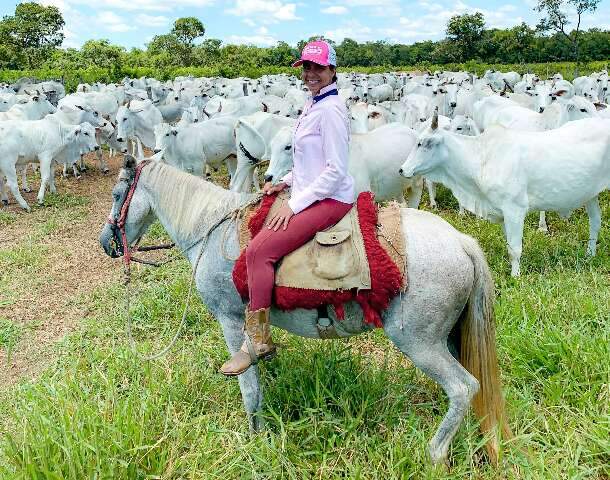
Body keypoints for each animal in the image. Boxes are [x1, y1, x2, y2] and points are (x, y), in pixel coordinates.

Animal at [100, 158, 508, 464]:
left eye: (118, 194)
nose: (107, 243)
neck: (211, 228)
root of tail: (462, 242)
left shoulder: (230, 319)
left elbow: (248, 385)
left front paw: (255, 436)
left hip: (421, 343)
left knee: (463, 387)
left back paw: (435, 454)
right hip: (451, 337)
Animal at [400, 113, 608, 276]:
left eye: (423, 143)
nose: (402, 170)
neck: (482, 158)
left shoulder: (514, 209)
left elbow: (515, 249)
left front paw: (516, 277)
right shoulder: (501, 211)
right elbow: (509, 246)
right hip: (591, 194)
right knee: (595, 221)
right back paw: (590, 255)